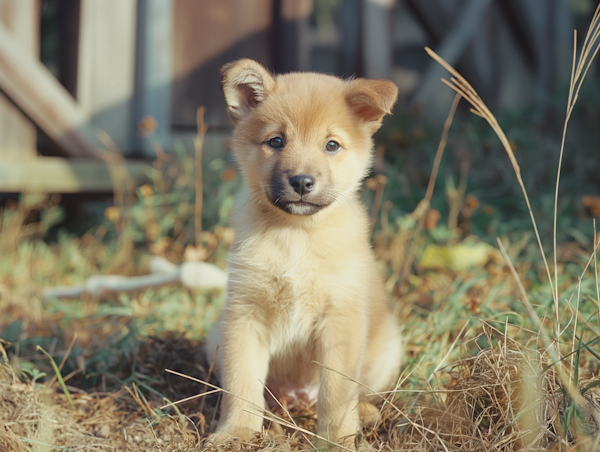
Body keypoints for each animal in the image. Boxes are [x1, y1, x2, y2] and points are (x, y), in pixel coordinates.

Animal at [206, 59, 404, 448]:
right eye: (276, 141)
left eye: (331, 145)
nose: (300, 182)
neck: (296, 236)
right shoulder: (243, 316)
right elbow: (241, 385)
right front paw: (236, 432)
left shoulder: (340, 320)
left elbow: (338, 393)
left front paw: (338, 440)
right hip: (214, 336)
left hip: (387, 346)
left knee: (361, 392)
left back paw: (367, 413)